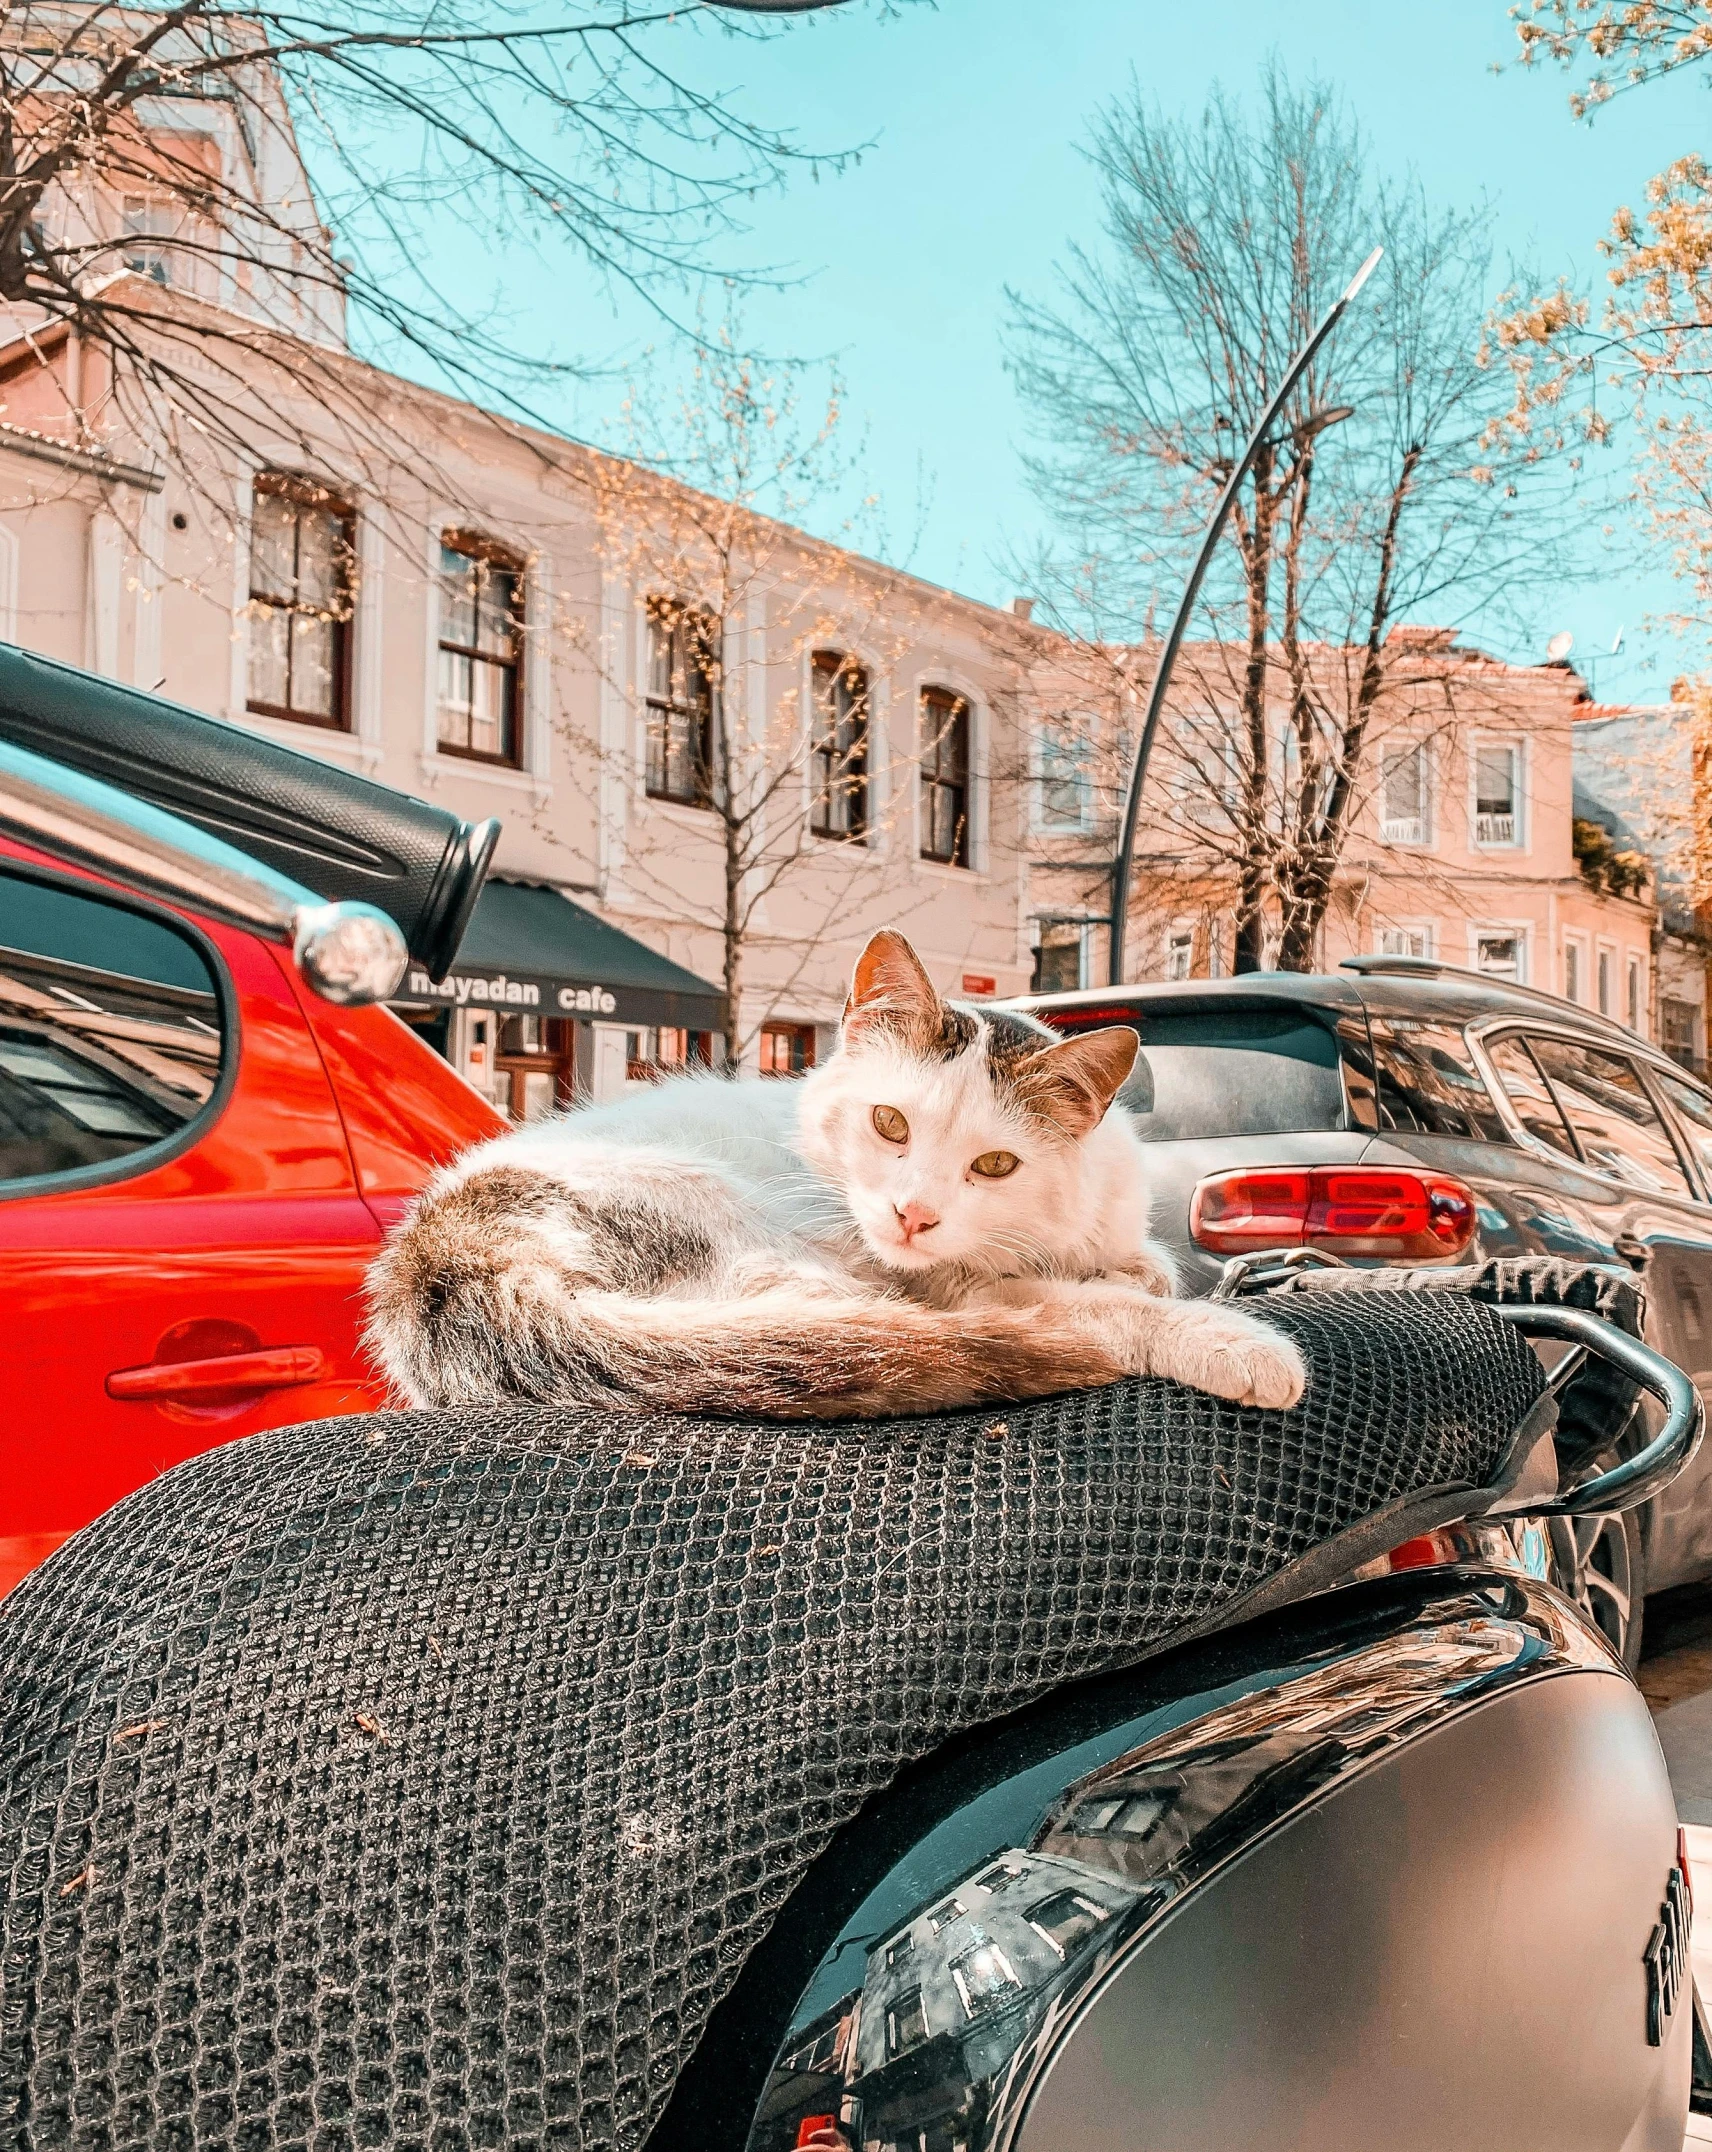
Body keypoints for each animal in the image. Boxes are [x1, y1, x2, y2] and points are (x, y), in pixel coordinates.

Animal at [367, 933, 1307, 1420]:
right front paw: (1230, 1341)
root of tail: (437, 1266)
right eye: (888, 1123)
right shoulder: (944, 1285)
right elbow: (1096, 1303)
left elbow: (1146, 1262)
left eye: (996, 1164)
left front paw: (1139, 1266)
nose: (912, 1215)